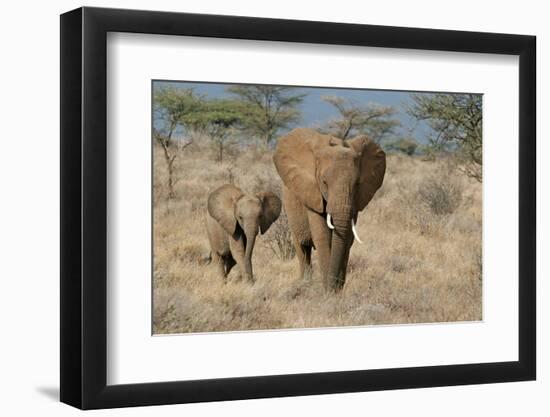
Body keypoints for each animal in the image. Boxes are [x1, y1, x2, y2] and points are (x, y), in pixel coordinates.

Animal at [272, 127, 386, 290]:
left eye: (357, 184)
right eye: (324, 182)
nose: (335, 287)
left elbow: (347, 238)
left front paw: (337, 290)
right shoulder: (313, 193)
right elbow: (323, 236)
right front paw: (328, 291)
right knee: (302, 247)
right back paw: (306, 282)